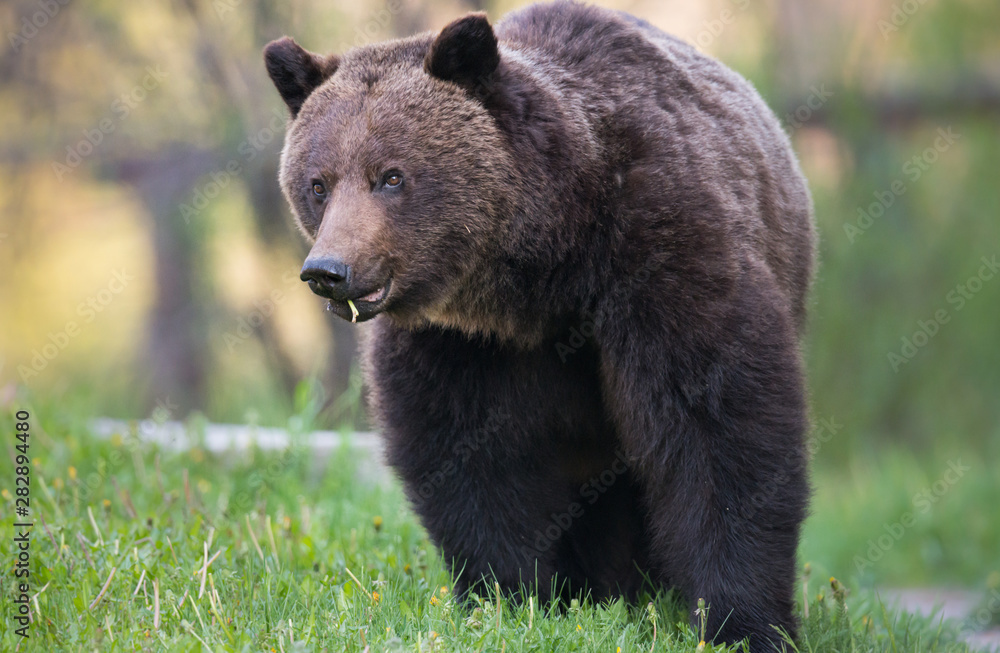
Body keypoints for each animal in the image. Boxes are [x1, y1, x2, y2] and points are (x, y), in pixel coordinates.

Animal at [264, 2, 812, 648]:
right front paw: (511, 597)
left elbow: (717, 426)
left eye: (391, 176)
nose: (328, 270)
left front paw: (742, 621)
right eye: (318, 183)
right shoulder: (459, 342)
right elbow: (470, 456)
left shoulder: (663, 252)